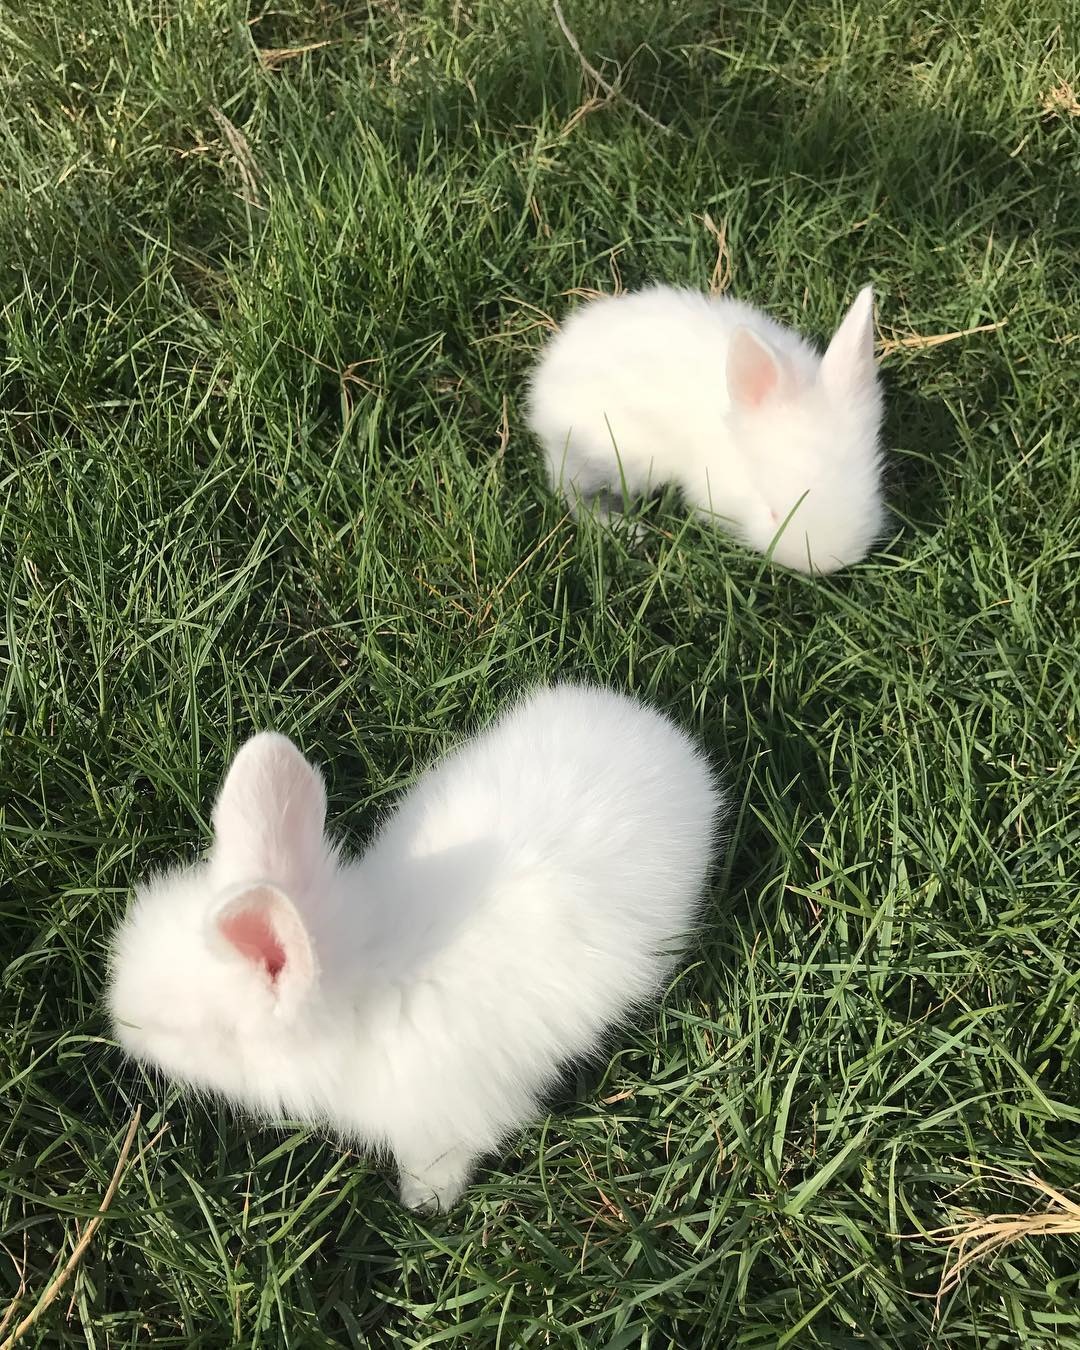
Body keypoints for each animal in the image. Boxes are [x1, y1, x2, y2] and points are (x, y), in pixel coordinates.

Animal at [107, 684, 722, 1213]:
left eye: (184, 1029)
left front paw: (424, 1205)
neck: (361, 987)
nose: (119, 1026)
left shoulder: (444, 1119)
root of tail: (666, 739)